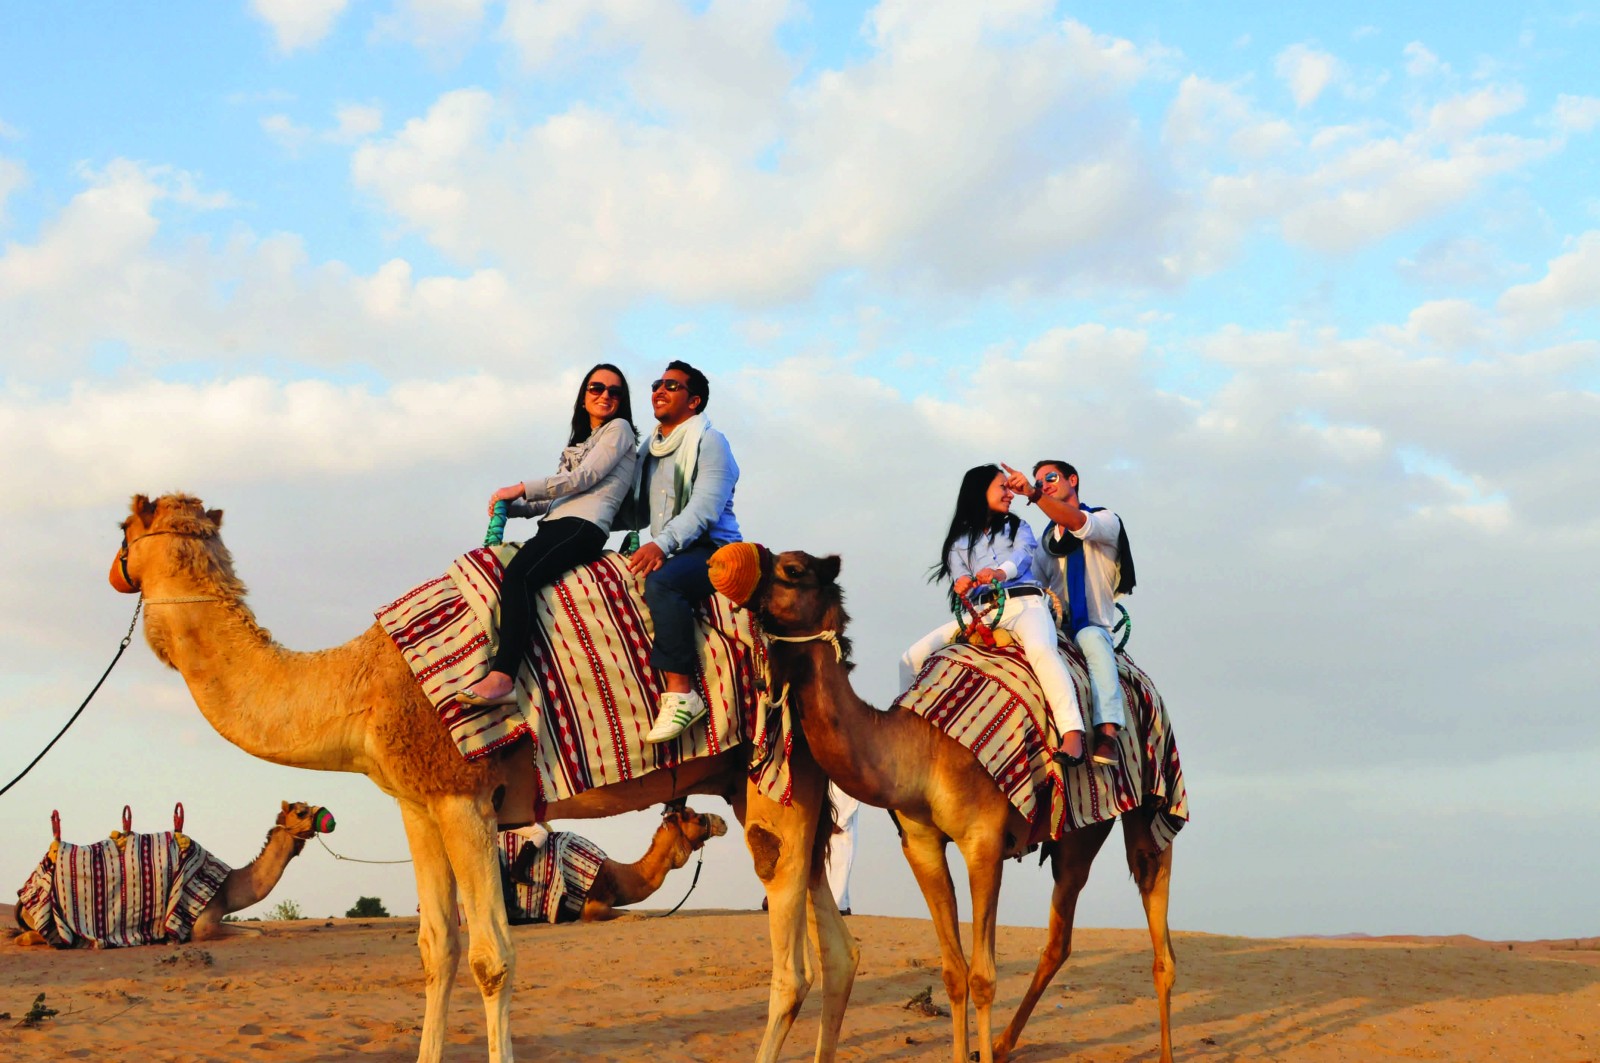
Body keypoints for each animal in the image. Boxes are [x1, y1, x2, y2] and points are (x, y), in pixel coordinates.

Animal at [713, 544, 1177, 1063]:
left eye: (792, 569)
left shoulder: (983, 842)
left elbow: (983, 978)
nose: (720, 565)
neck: (921, 748)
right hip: (1081, 827)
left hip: (1151, 800)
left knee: (1159, 940)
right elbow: (955, 973)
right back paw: (1004, 1042)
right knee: (1059, 939)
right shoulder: (921, 843)